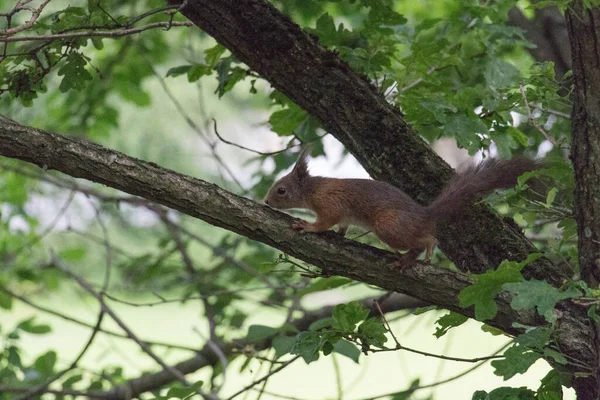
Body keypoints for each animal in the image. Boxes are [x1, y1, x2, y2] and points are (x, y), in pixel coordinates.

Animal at [262, 148, 540, 268]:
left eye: (281, 190)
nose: (265, 202)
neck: (312, 190)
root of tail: (425, 215)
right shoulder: (342, 215)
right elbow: (342, 225)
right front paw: (340, 235)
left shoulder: (329, 203)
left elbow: (325, 222)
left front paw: (307, 226)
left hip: (388, 227)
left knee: (425, 240)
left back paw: (417, 253)